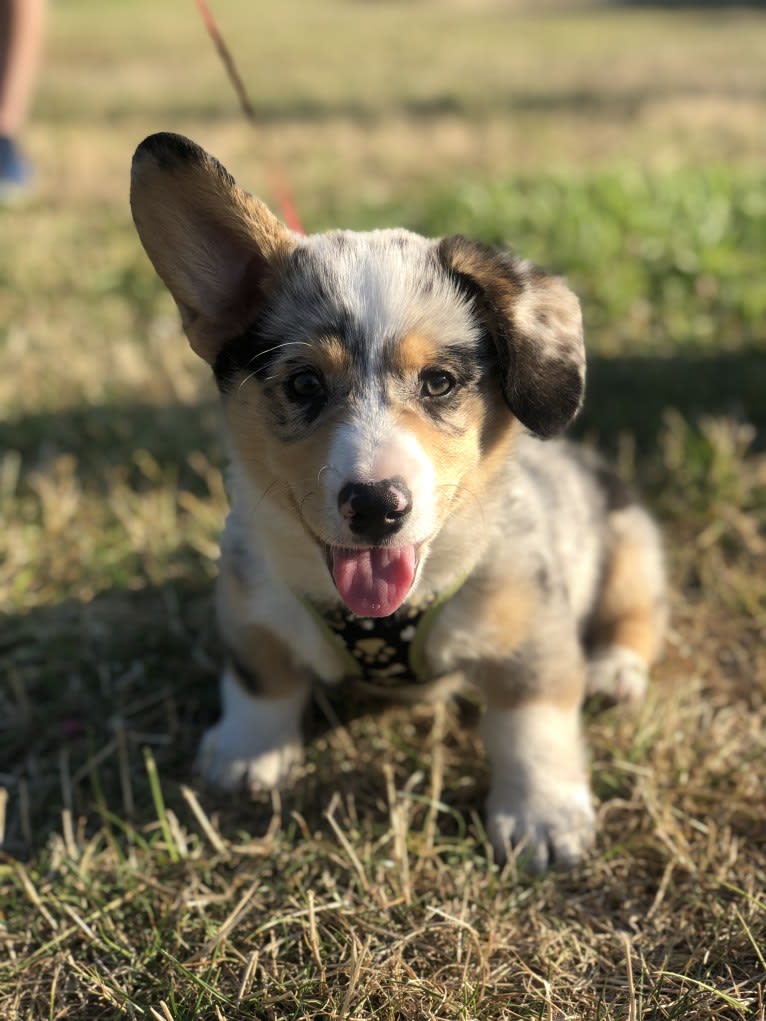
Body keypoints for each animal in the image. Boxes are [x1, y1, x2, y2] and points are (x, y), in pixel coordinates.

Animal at [130, 133, 665, 869]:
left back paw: (614, 672)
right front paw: (246, 754)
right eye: (303, 383)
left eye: (439, 382)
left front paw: (542, 816)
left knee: (636, 618)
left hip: (635, 549)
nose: (376, 505)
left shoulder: (532, 634)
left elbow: (531, 723)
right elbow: (261, 679)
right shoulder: (248, 604)